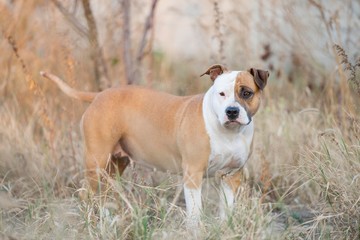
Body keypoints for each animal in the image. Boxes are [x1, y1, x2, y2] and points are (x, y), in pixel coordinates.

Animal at [40, 64, 268, 226]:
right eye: (221, 93)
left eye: (246, 92)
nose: (232, 111)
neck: (228, 133)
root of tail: (98, 95)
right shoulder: (193, 175)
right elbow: (195, 213)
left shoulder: (231, 176)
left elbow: (226, 210)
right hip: (96, 161)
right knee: (86, 193)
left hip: (115, 164)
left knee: (103, 194)